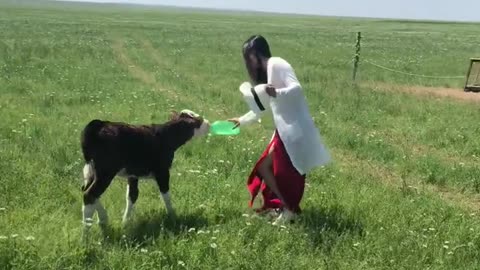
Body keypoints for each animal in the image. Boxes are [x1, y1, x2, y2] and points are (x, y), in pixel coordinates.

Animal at [79, 108, 209, 227]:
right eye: (198, 121)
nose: (208, 123)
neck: (165, 137)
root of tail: (99, 124)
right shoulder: (162, 171)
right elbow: (166, 195)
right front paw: (173, 216)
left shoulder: (133, 174)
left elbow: (132, 196)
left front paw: (126, 221)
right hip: (106, 172)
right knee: (89, 194)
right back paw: (86, 233)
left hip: (92, 171)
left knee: (88, 192)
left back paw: (102, 219)